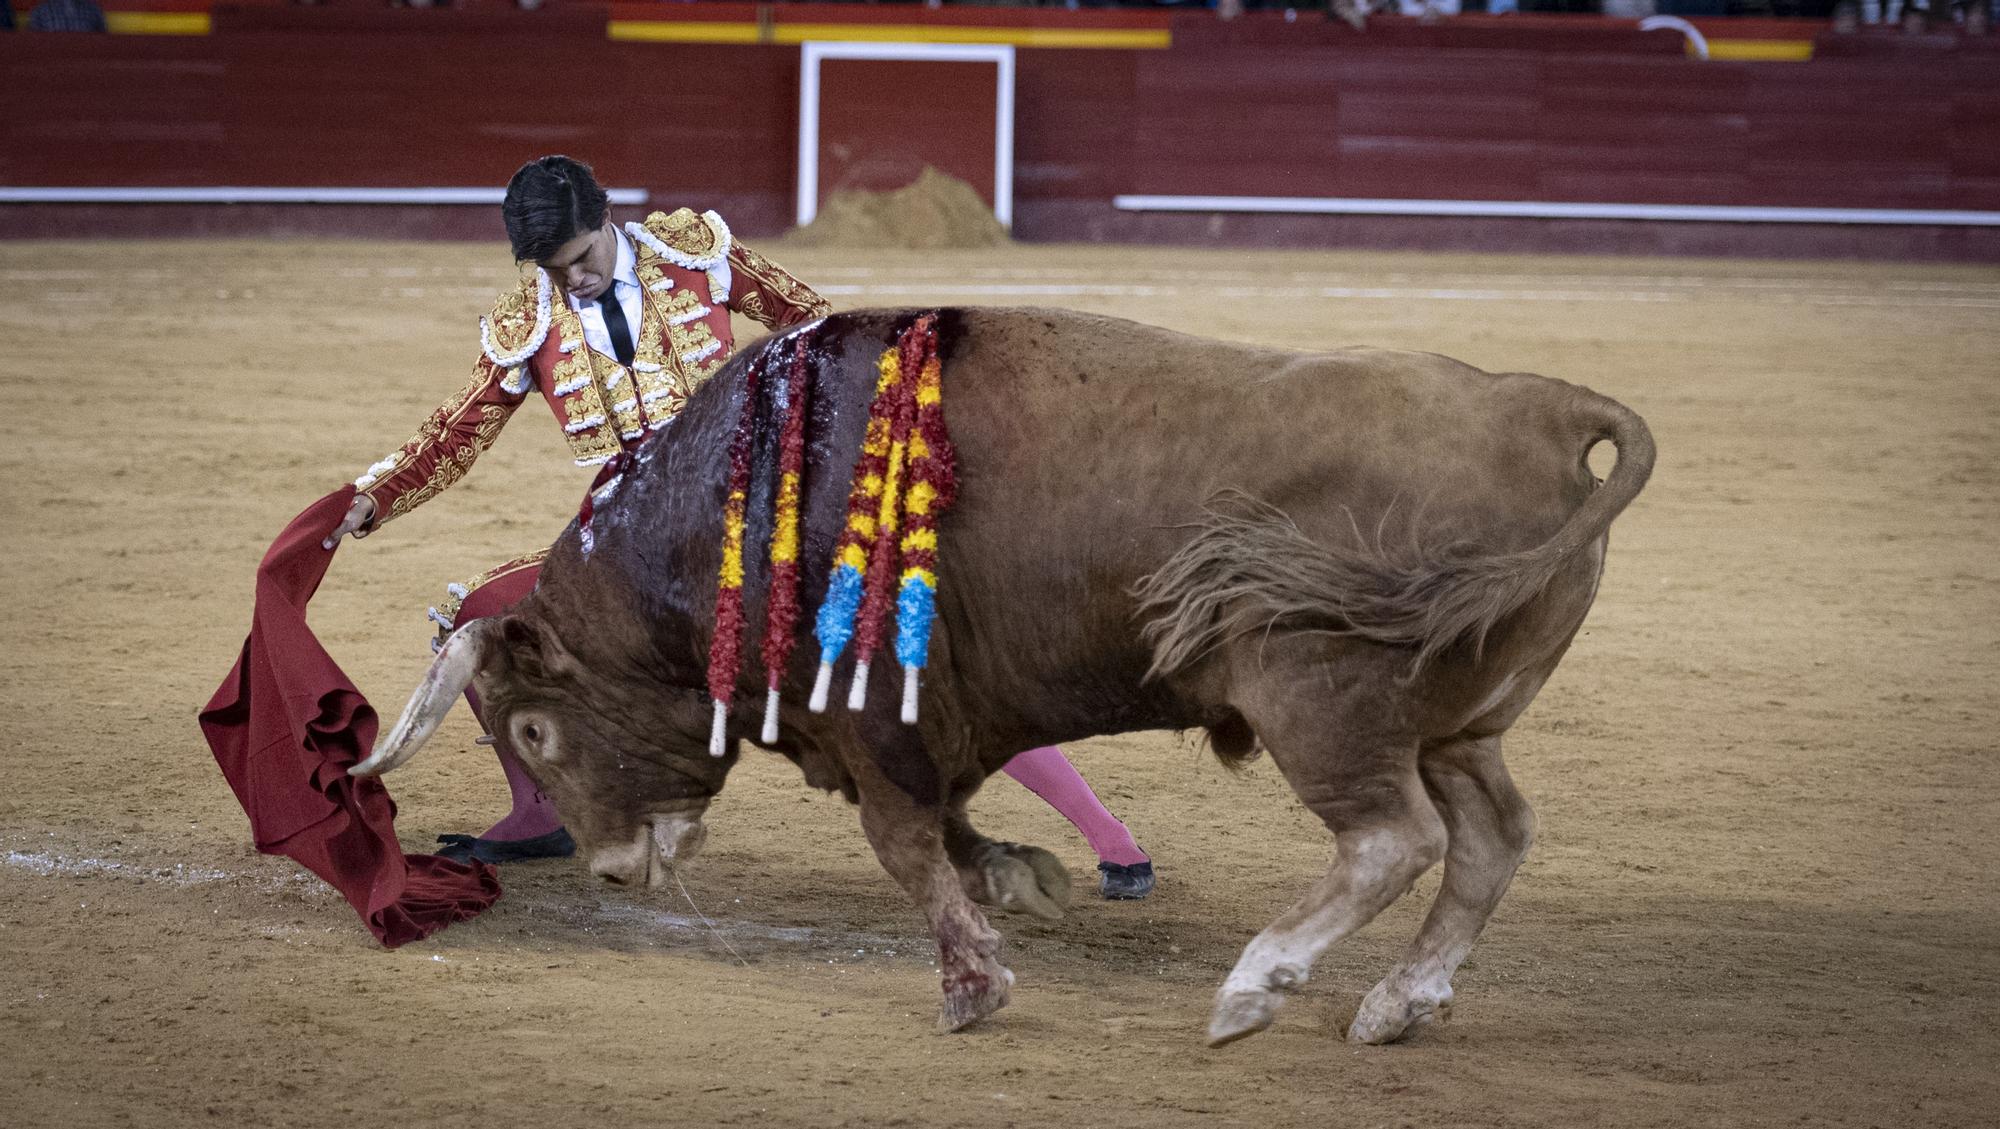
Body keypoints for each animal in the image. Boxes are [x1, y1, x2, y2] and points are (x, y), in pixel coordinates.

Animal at [352, 304, 1648, 1048]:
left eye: (532, 733)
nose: (616, 869)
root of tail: (1540, 408)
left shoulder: (875, 716)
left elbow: (903, 841)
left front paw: (971, 984)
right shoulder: (937, 716)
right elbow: (956, 820)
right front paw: (1019, 880)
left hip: (1323, 704)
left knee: (1391, 839)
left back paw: (1253, 986)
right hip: (1460, 723)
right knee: (1489, 837)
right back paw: (1397, 1002)